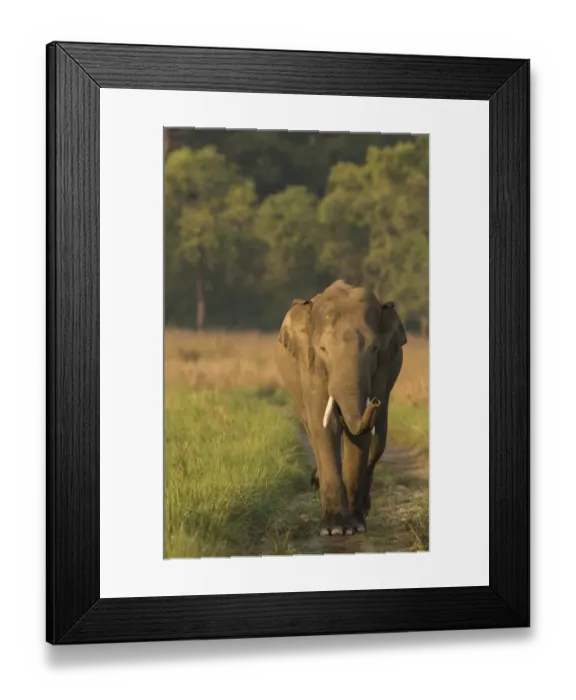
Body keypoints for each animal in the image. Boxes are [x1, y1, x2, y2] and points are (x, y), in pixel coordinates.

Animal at [274, 280, 407, 536]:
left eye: (374, 349)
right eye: (323, 349)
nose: (375, 402)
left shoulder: (382, 369)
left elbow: (361, 435)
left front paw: (355, 526)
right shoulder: (311, 367)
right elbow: (324, 426)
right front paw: (334, 529)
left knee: (378, 439)